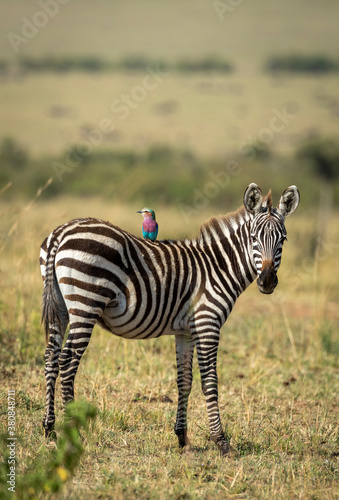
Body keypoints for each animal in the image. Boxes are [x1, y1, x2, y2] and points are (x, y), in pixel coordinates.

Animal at [40, 185, 300, 458]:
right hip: (85, 304)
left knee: (51, 357)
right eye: (253, 238)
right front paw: (220, 440)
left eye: (283, 240)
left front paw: (182, 437)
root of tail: (62, 231)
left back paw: (49, 429)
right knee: (67, 362)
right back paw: (72, 431)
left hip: (61, 306)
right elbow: (210, 382)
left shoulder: (185, 332)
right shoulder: (208, 324)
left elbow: (184, 381)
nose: (267, 281)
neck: (218, 267)